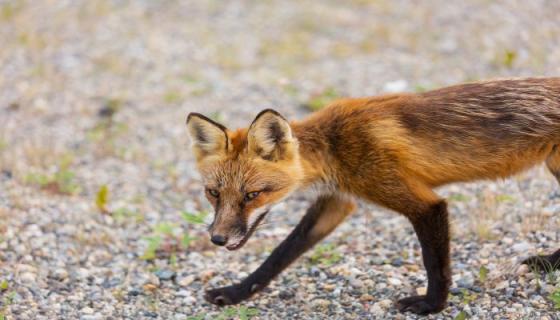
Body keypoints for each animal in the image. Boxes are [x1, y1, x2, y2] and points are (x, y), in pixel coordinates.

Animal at [186, 78, 560, 316]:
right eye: (213, 193)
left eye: (252, 194)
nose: (217, 239)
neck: (334, 147)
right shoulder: (338, 201)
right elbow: (279, 255)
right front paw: (236, 292)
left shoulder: (422, 204)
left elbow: (434, 263)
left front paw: (431, 305)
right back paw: (551, 263)